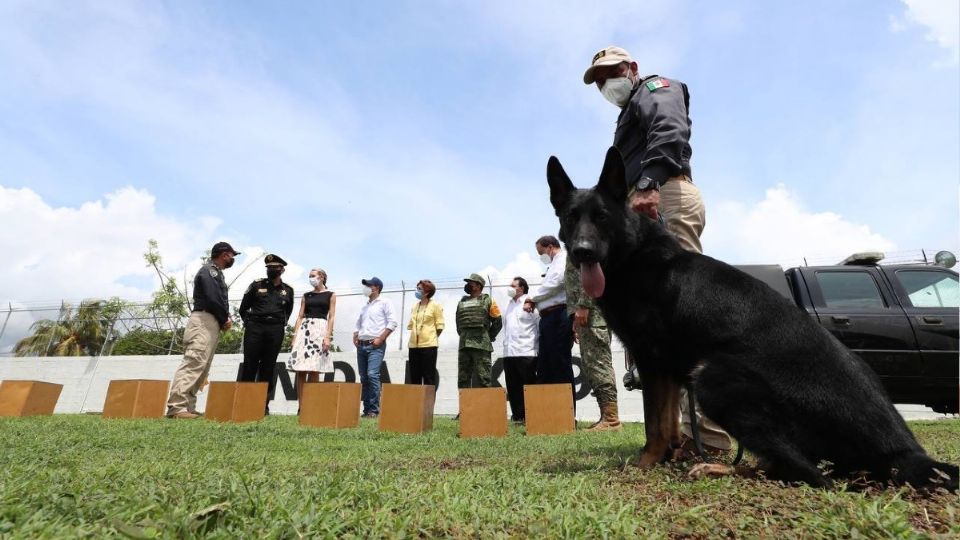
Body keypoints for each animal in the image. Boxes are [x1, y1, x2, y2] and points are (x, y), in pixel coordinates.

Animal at [552, 147, 956, 490]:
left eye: (602, 217)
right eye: (571, 218)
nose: (581, 252)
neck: (633, 251)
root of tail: (904, 450)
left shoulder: (654, 363)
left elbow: (655, 425)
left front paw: (644, 464)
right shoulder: (667, 370)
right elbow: (668, 422)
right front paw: (666, 457)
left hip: (712, 375)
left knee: (805, 473)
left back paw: (718, 468)